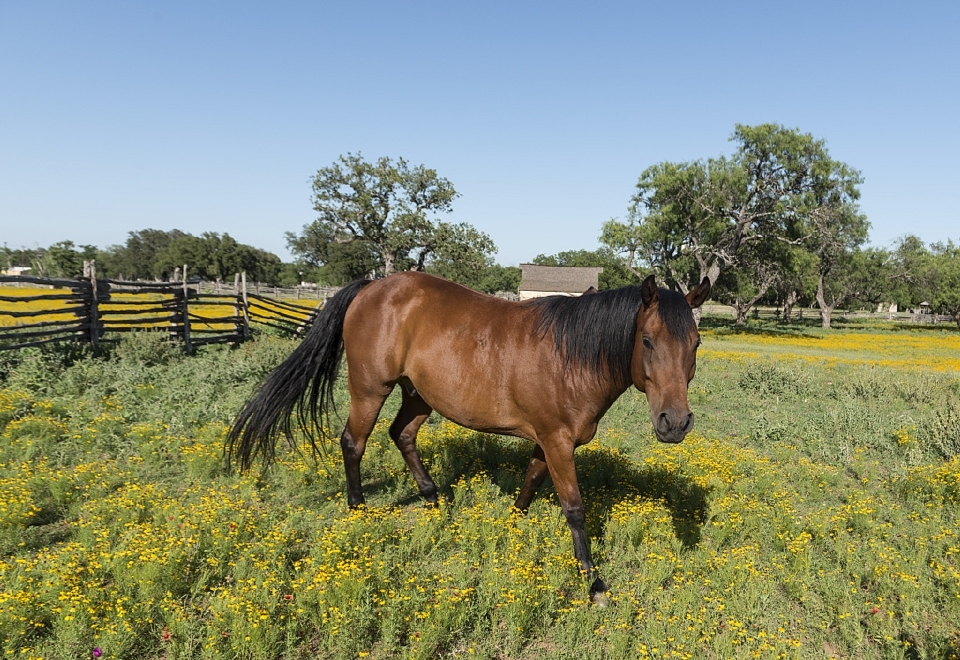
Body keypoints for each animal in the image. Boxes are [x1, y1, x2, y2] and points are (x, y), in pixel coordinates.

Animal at [229, 270, 712, 596]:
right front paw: (593, 583)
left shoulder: (547, 441)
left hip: (419, 394)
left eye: (696, 344)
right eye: (647, 341)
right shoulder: (557, 441)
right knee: (354, 442)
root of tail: (370, 288)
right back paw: (358, 509)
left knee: (402, 435)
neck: (571, 356)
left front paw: (510, 528)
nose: (674, 422)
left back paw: (433, 500)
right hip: (370, 389)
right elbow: (574, 509)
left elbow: (529, 483)